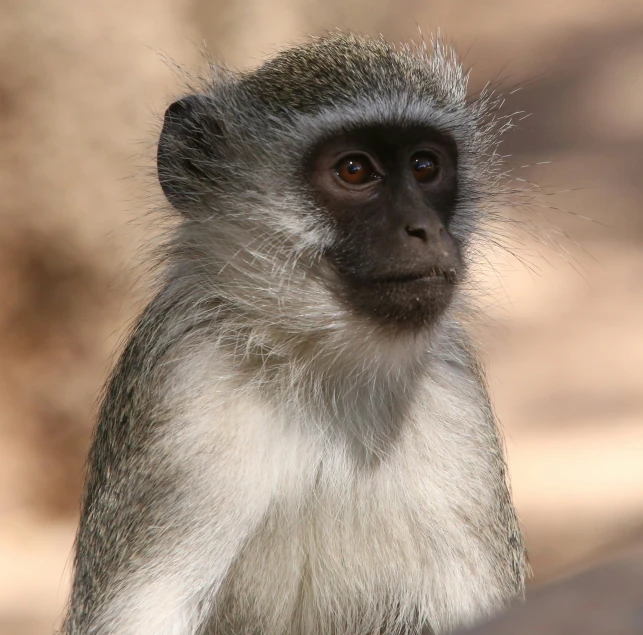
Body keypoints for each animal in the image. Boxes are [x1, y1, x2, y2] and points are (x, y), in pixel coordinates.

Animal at [63, 33, 528, 635]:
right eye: (354, 170)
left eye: (425, 166)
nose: (425, 230)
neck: (322, 366)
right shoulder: (178, 385)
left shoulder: (457, 398)